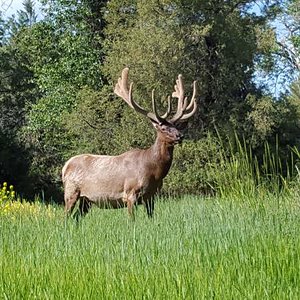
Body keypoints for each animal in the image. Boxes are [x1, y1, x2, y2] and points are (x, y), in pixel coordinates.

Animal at [62, 67, 197, 218]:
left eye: (176, 126)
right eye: (163, 128)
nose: (180, 136)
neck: (154, 171)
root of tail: (65, 167)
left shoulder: (151, 196)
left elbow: (151, 217)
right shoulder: (130, 193)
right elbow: (132, 219)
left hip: (87, 199)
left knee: (76, 217)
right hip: (71, 191)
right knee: (66, 217)